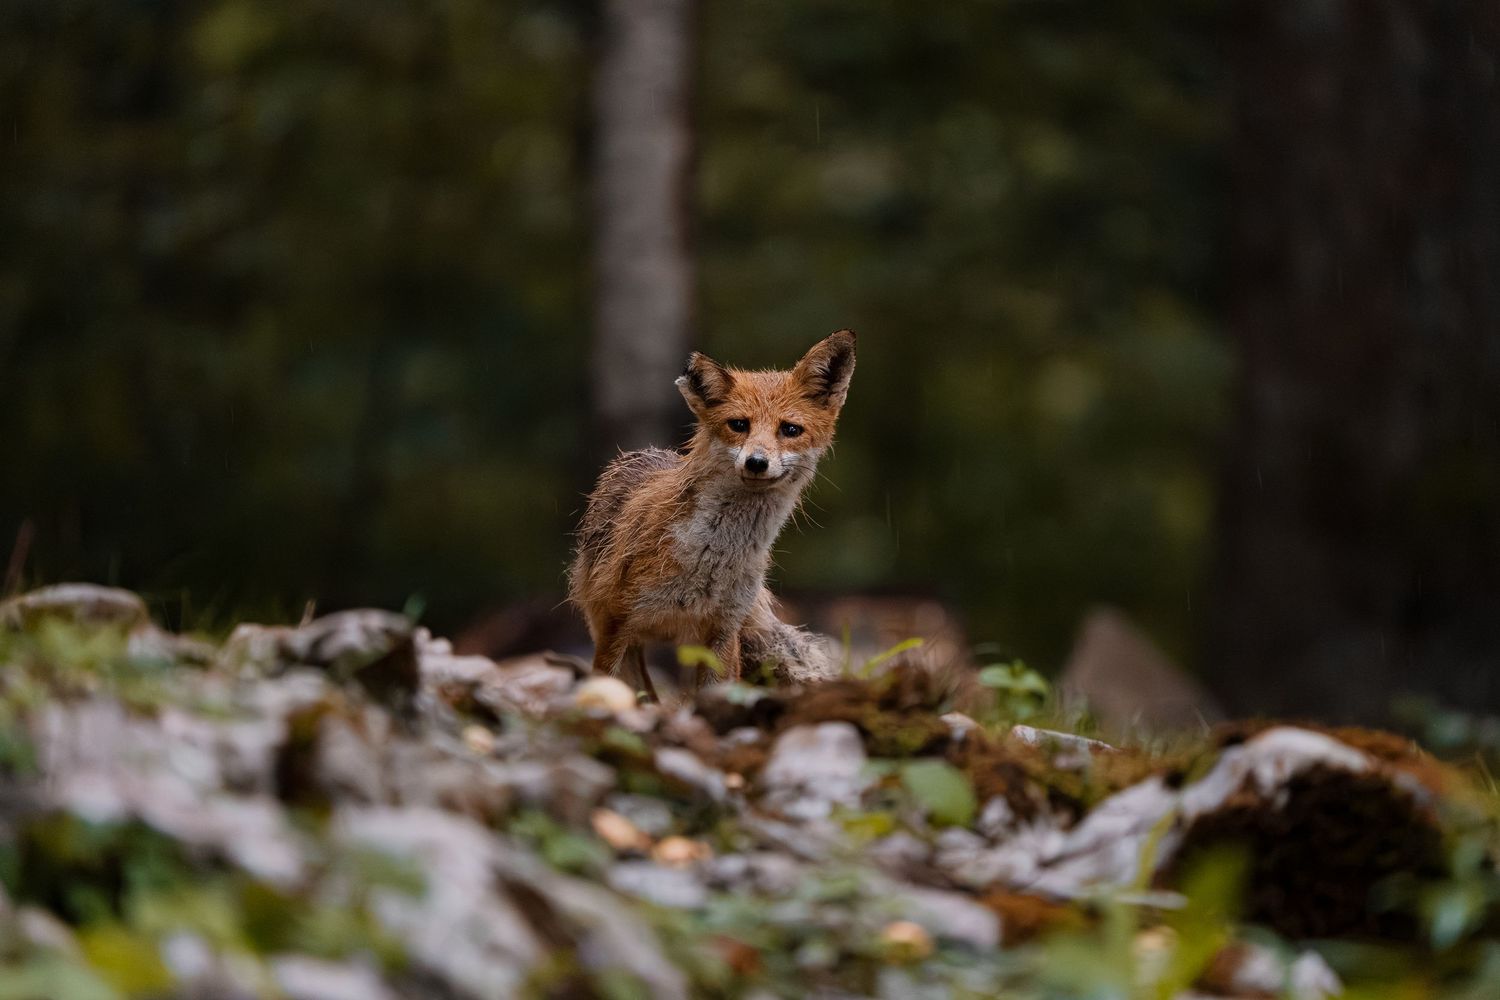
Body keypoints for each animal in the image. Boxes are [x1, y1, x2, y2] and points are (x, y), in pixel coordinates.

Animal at [568, 330, 856, 698]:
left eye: (790, 430)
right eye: (739, 425)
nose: (756, 462)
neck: (708, 561)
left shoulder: (723, 629)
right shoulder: (615, 624)